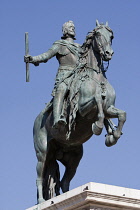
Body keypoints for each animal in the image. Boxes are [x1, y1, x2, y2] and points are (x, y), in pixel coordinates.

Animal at [33, 20, 126, 204]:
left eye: (111, 36)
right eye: (98, 35)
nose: (108, 53)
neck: (96, 77)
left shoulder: (110, 108)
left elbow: (121, 114)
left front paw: (113, 135)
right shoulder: (83, 111)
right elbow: (98, 102)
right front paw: (98, 126)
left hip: (73, 158)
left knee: (64, 182)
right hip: (43, 153)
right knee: (39, 177)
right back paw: (41, 201)